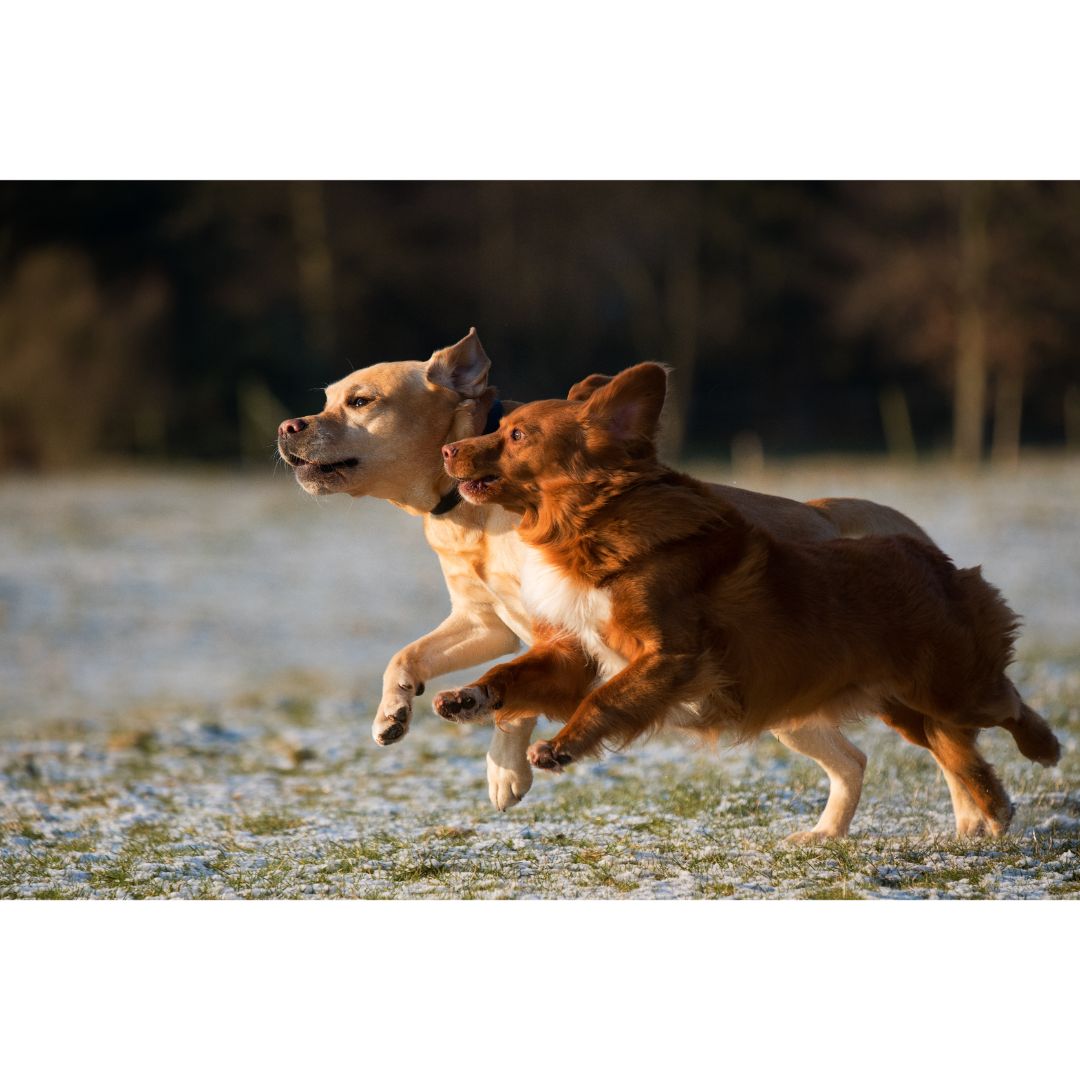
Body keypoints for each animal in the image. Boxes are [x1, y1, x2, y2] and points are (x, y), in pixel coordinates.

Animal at [434, 367, 1058, 838]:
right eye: (500, 428)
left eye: (518, 435)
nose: (446, 449)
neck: (589, 527)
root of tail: (929, 555)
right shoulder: (580, 653)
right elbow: (514, 673)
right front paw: (468, 697)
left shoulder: (670, 655)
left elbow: (607, 700)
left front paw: (560, 746)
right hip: (904, 705)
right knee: (950, 751)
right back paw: (985, 810)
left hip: (949, 688)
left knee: (1006, 705)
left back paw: (1044, 749)